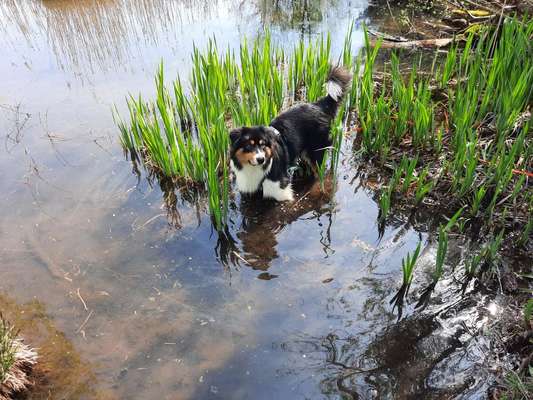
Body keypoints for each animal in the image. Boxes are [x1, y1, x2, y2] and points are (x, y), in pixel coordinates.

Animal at [228, 67, 350, 203]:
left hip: (317, 153)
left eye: (263, 145)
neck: (254, 170)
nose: (261, 159)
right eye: (249, 145)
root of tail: (318, 105)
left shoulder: (281, 190)